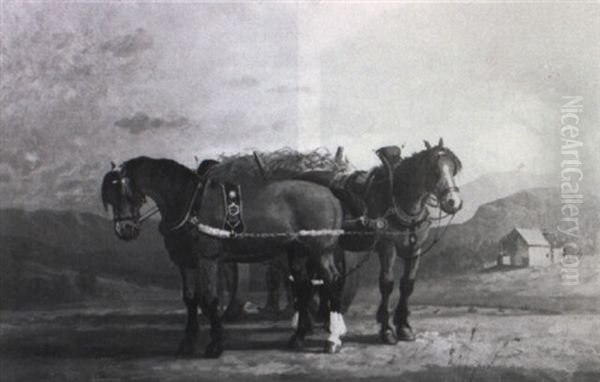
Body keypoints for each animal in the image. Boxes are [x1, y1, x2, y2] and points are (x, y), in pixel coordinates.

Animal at [101, 157, 350, 356]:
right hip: (297, 252)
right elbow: (190, 300)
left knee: (331, 282)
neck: (191, 204)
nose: (125, 230)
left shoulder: (207, 260)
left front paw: (215, 345)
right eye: (109, 199)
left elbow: (210, 300)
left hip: (321, 251)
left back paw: (333, 339)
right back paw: (298, 337)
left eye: (124, 193)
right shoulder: (186, 264)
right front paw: (188, 343)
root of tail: (331, 194)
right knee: (303, 286)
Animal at [342, 137, 464, 344]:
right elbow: (387, 284)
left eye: (453, 168)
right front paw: (386, 330)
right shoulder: (387, 247)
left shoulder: (415, 249)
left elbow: (407, 284)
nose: (453, 202)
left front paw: (404, 327)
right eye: (434, 169)